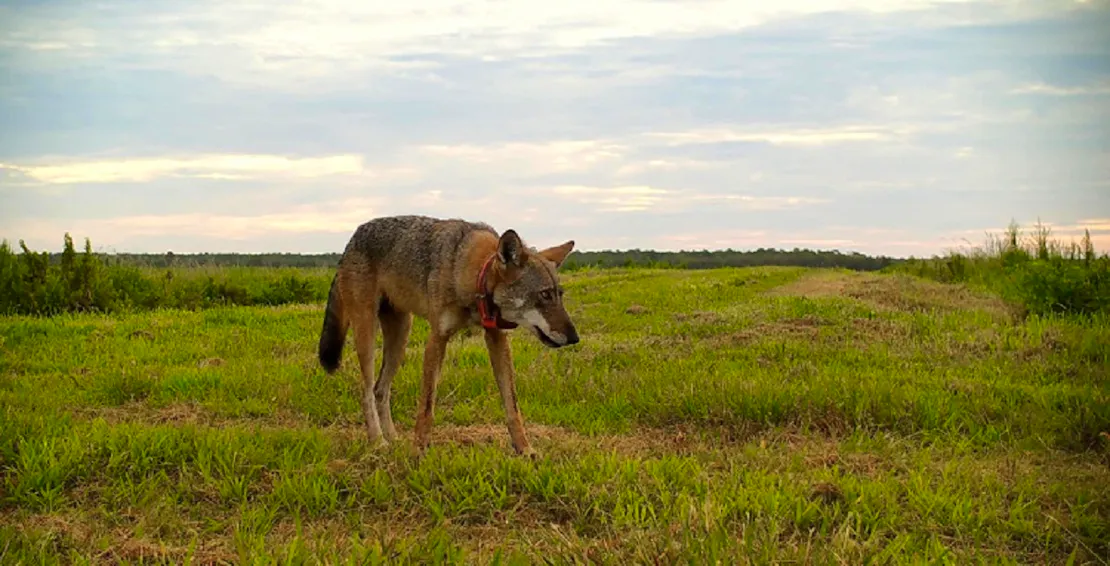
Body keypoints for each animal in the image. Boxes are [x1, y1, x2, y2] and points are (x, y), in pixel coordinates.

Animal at [317, 215, 579, 456]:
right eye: (544, 295)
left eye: (560, 295)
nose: (574, 338)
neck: (471, 275)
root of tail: (352, 239)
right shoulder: (437, 338)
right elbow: (427, 406)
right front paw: (419, 451)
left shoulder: (497, 338)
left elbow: (512, 405)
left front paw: (525, 450)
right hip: (368, 336)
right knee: (366, 392)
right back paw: (378, 442)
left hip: (401, 338)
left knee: (380, 390)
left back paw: (394, 439)